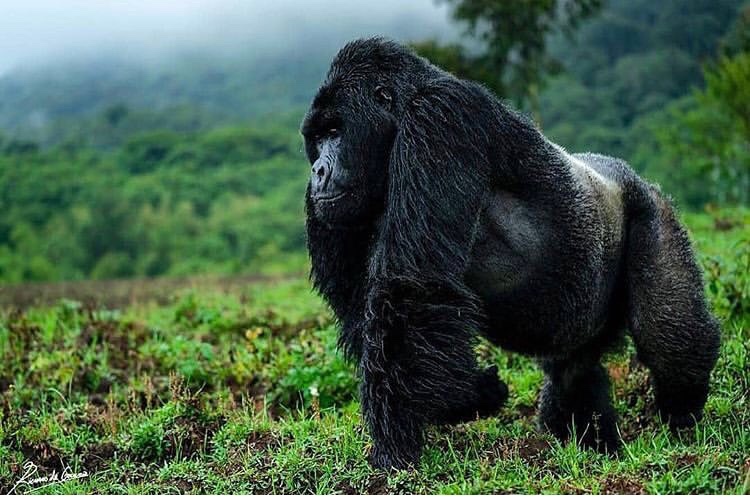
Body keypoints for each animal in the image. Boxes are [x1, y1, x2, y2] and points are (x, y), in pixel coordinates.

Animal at [300, 38, 724, 468]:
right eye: (316, 139)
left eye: (335, 131)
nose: (317, 171)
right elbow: (366, 308)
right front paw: (470, 395)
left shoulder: (441, 118)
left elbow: (413, 288)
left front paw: (393, 448)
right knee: (573, 373)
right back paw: (592, 439)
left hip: (652, 209)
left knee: (669, 337)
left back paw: (682, 417)